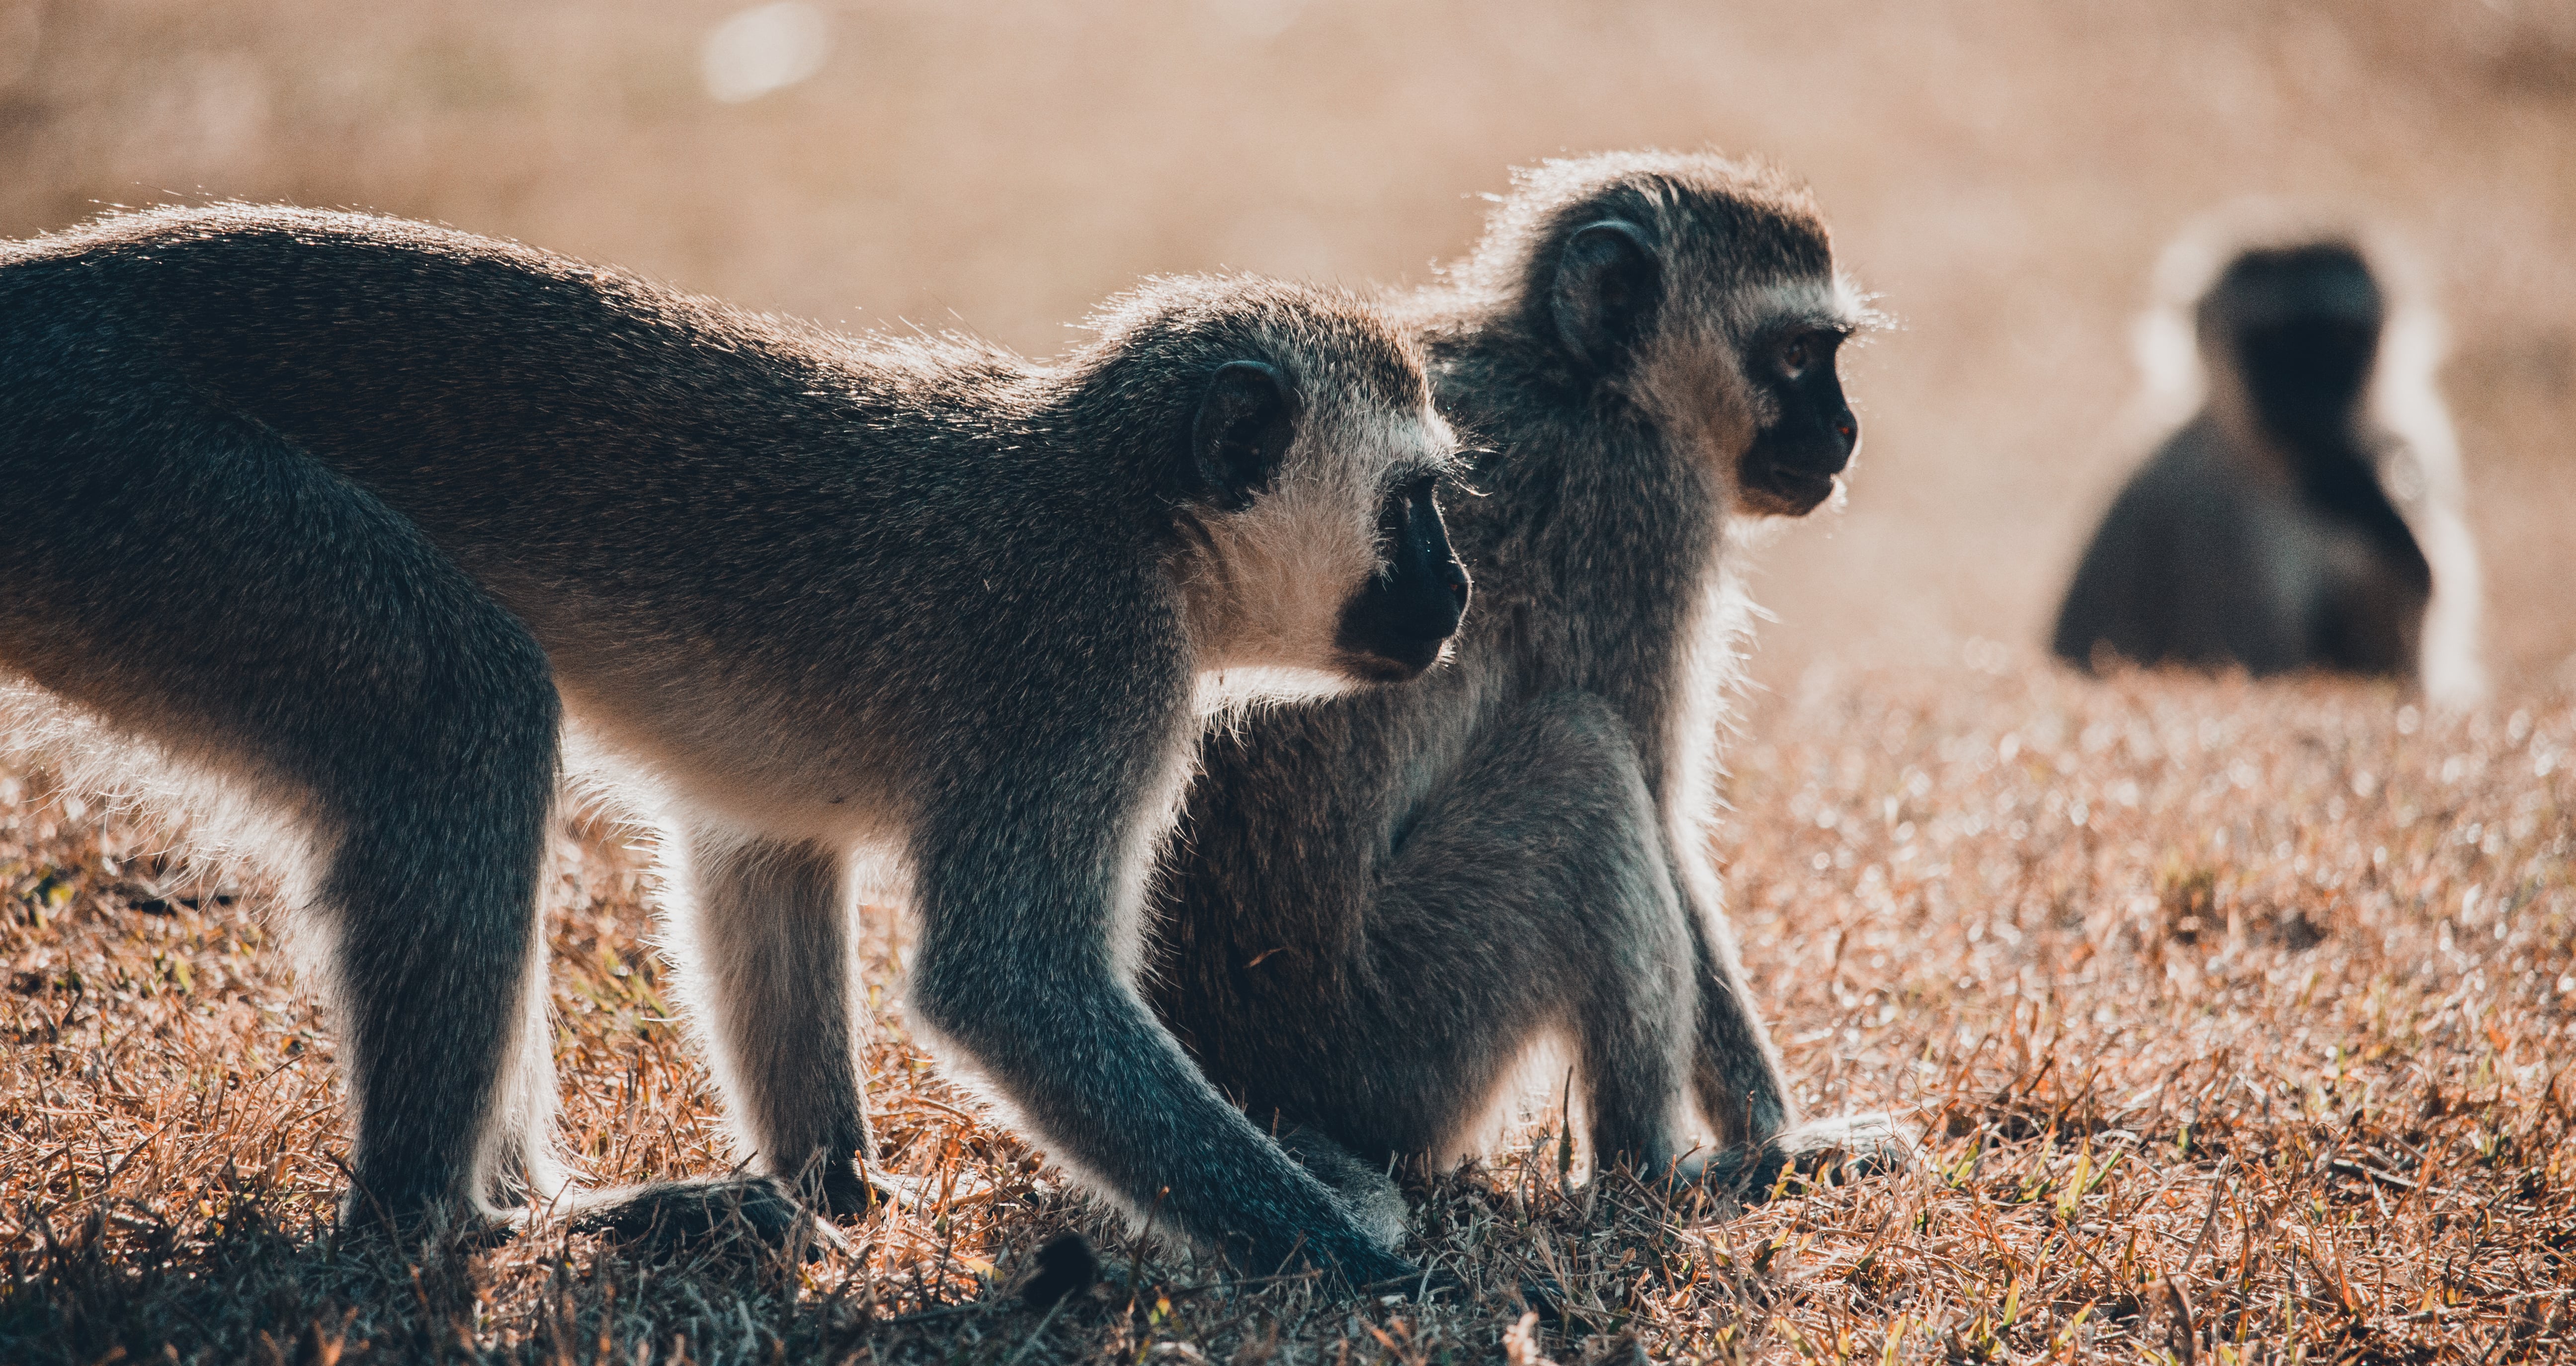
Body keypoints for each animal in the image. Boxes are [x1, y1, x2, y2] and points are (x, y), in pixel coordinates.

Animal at [0, 203, 1470, 1285]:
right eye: (1412, 506)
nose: (1454, 593)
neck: (1127, 506)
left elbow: (762, 853)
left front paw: (847, 1189)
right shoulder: (1084, 670)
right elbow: (1009, 982)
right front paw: (1356, 1264)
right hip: (132, 475)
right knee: (461, 705)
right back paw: (455, 1220)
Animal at [1143, 152, 1913, 1224]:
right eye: (1797, 353)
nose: (1843, 427)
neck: (1578, 380)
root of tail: (1258, 1087)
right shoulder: (1634, 519)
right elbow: (1663, 826)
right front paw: (1782, 1142)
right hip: (1403, 1033)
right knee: (1583, 766)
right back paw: (1662, 1169)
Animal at [2051, 216, 2485, 705]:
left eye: (2339, 339)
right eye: (2272, 343)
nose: (2309, 399)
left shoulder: (2415, 444)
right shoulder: (2219, 525)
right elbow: (2266, 670)